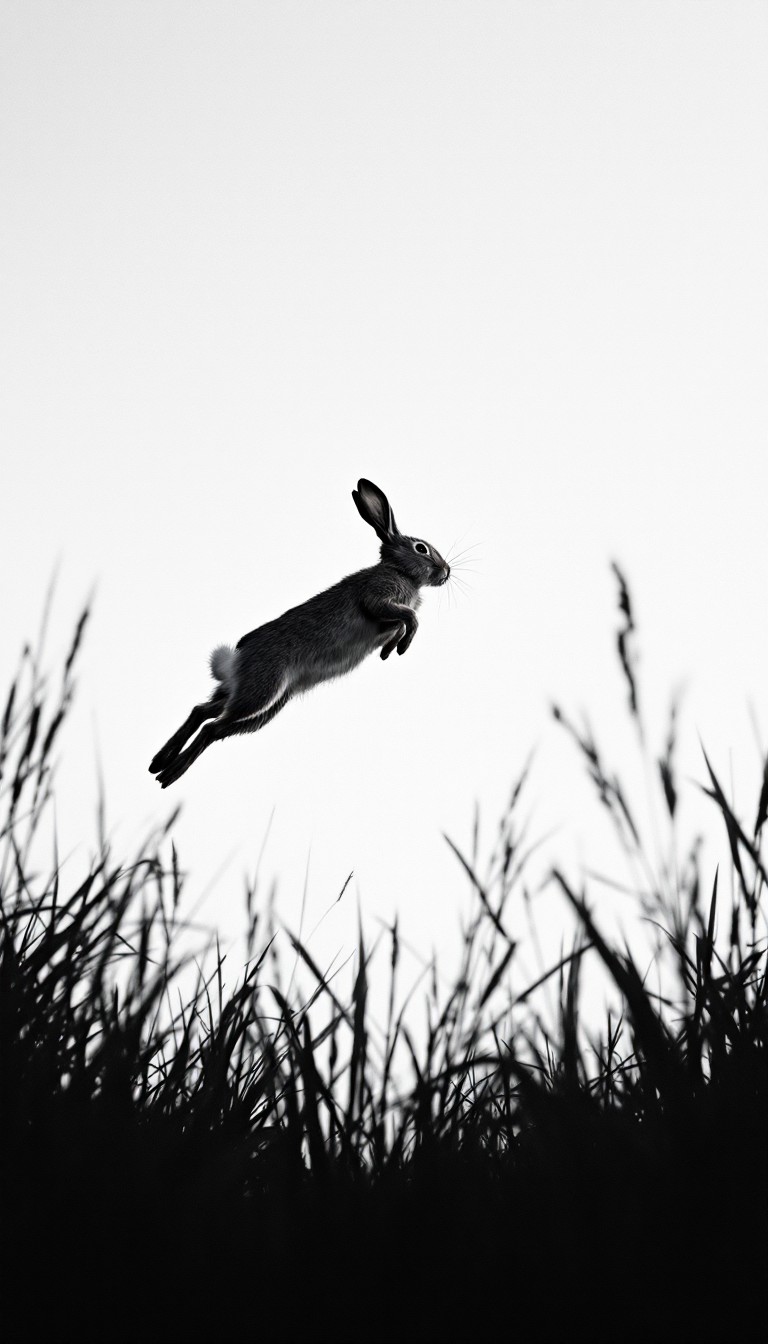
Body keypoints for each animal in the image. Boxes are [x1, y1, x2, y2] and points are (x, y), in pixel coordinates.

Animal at [149, 479, 450, 787]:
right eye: (421, 548)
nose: (446, 571)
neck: (401, 572)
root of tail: (235, 661)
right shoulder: (378, 599)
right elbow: (409, 617)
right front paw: (400, 647)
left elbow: (401, 624)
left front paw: (390, 650)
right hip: (262, 691)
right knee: (211, 725)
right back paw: (168, 776)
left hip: (266, 705)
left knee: (207, 716)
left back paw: (159, 766)